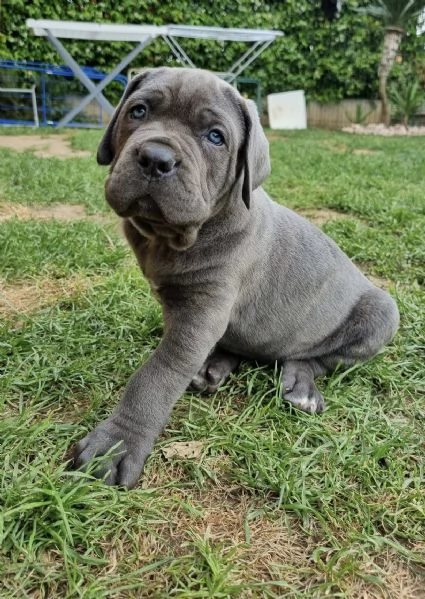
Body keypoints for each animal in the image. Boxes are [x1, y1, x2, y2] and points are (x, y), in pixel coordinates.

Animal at [72, 67, 398, 488]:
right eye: (138, 111)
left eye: (215, 137)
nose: (155, 158)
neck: (172, 237)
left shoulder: (202, 312)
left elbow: (157, 375)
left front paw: (116, 444)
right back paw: (213, 369)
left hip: (383, 312)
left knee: (316, 359)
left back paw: (301, 386)